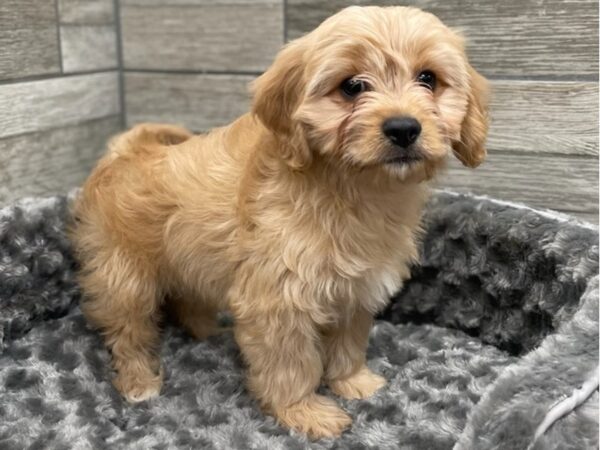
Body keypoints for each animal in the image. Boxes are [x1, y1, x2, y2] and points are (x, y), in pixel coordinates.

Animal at [72, 6, 490, 440]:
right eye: (352, 86)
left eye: (428, 79)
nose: (404, 128)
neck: (352, 188)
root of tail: (124, 153)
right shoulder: (278, 299)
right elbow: (290, 363)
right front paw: (303, 411)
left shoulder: (356, 290)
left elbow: (348, 341)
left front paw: (353, 381)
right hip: (124, 276)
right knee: (128, 331)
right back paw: (139, 381)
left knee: (188, 300)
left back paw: (208, 332)